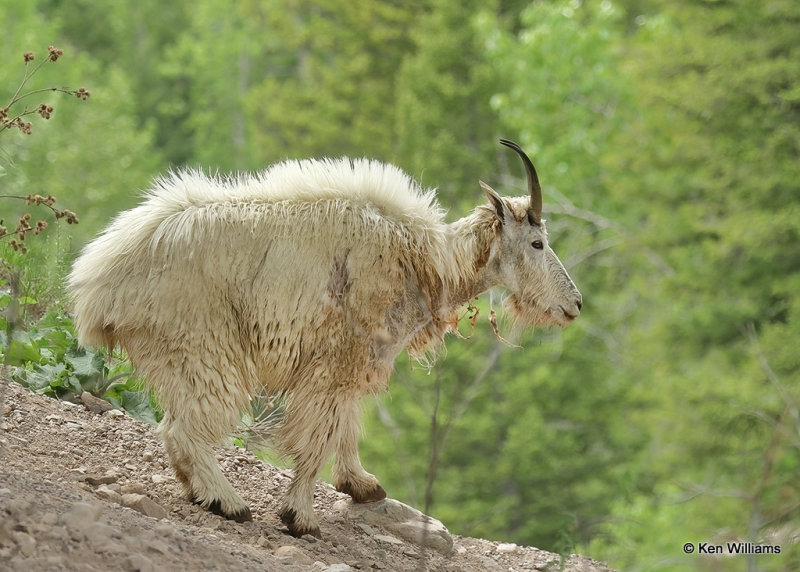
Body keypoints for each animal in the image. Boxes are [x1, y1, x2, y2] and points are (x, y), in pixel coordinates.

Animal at [69, 139, 580, 536]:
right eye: (537, 243)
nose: (574, 304)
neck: (425, 261)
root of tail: (97, 281)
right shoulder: (337, 361)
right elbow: (318, 437)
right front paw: (301, 518)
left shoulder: (353, 365)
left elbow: (348, 426)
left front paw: (363, 485)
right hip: (203, 348)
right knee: (183, 428)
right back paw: (227, 502)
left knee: (178, 432)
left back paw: (201, 492)